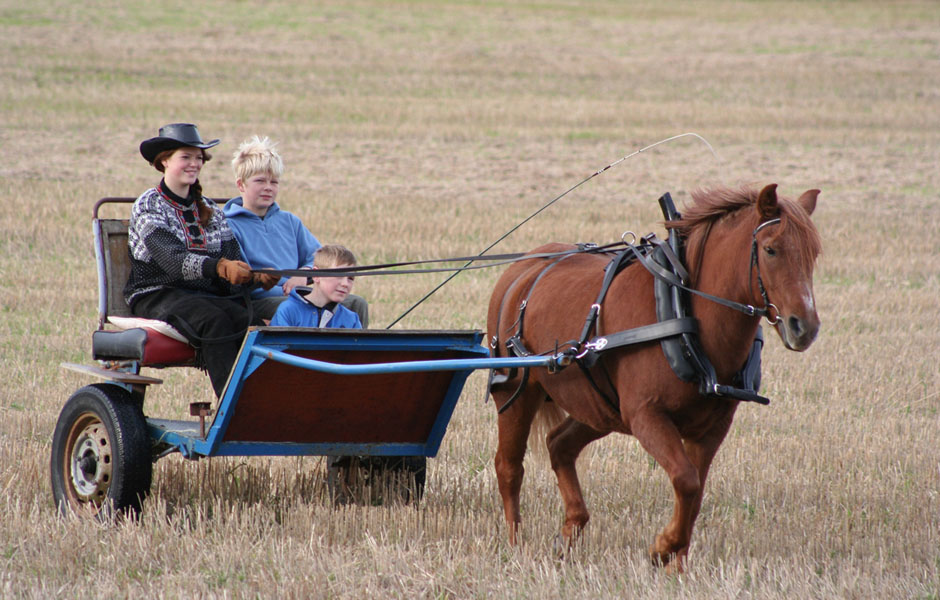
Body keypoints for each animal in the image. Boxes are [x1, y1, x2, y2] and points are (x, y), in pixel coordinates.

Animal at [488, 183, 820, 572]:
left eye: (813, 253)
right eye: (770, 249)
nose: (804, 327)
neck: (683, 310)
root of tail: (521, 269)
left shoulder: (711, 428)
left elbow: (695, 491)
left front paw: (677, 561)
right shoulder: (647, 416)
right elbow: (686, 481)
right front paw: (663, 547)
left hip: (600, 408)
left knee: (559, 445)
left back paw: (570, 529)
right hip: (516, 394)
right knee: (509, 466)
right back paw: (515, 543)